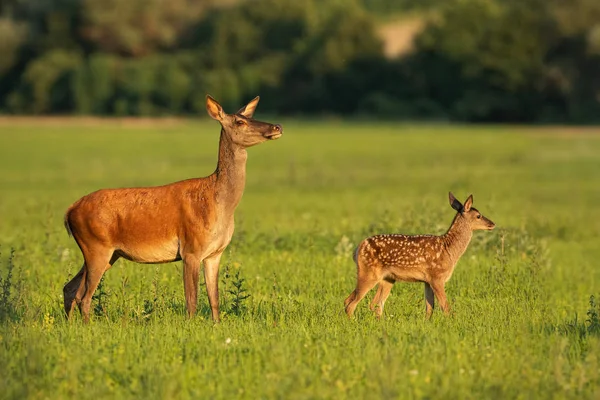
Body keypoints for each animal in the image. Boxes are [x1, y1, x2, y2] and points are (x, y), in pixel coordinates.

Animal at [63, 95, 284, 324]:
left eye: (251, 116)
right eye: (240, 122)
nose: (277, 126)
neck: (220, 204)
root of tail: (70, 211)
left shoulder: (215, 253)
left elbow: (214, 298)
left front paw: (216, 325)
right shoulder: (191, 248)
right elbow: (192, 300)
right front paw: (191, 326)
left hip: (106, 252)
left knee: (70, 289)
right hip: (96, 246)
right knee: (84, 296)